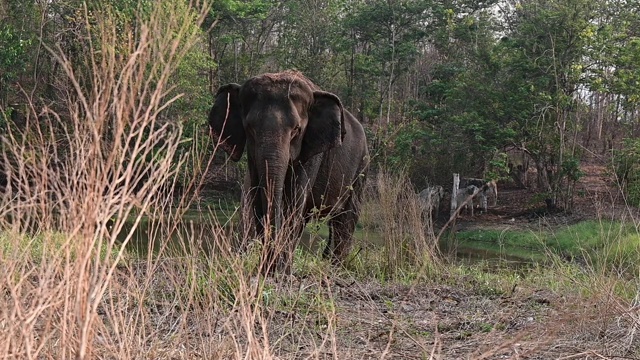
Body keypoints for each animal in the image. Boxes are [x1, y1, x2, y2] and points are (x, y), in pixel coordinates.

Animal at [210, 69, 370, 272]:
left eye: (296, 130)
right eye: (249, 128)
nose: (270, 264)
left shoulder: (312, 153)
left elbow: (293, 200)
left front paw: (279, 270)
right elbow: (257, 198)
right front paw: (268, 268)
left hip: (361, 169)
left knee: (345, 220)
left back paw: (335, 266)